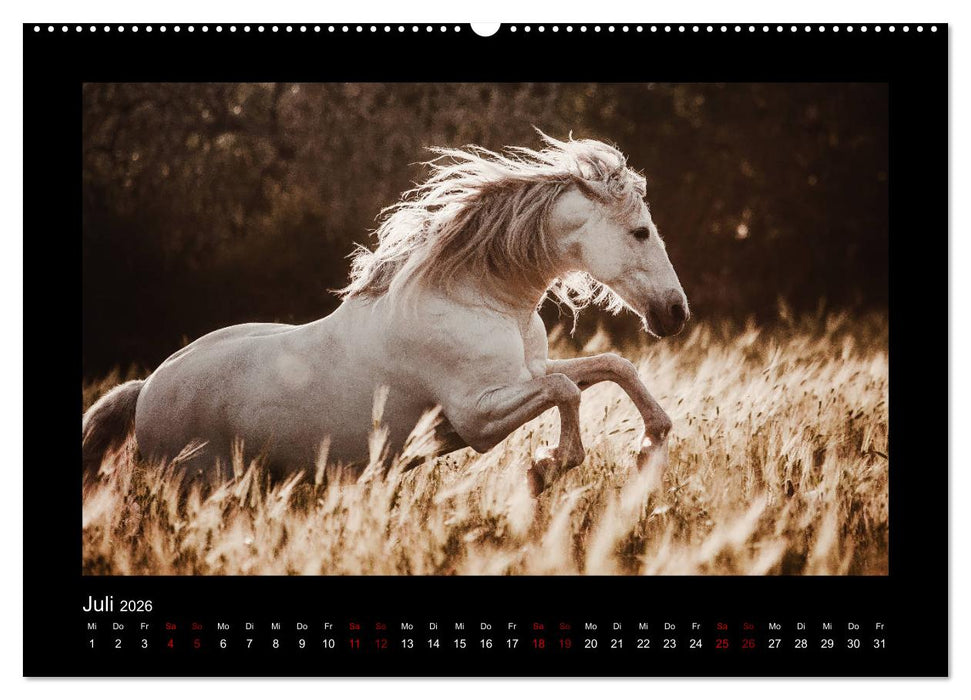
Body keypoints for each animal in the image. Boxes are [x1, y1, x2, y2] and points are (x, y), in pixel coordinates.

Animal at [82, 133, 689, 495]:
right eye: (641, 231)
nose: (675, 313)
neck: (474, 300)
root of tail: (146, 389)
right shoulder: (476, 416)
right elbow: (568, 391)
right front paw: (548, 464)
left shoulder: (525, 374)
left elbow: (609, 368)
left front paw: (649, 445)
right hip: (201, 487)